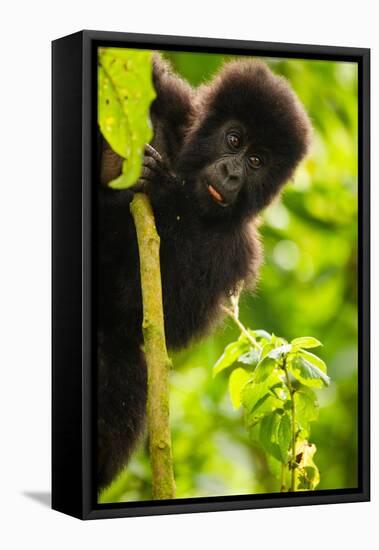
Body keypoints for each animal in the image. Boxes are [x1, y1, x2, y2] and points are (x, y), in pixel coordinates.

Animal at [97, 55, 312, 492]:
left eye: (256, 161)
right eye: (234, 141)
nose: (231, 174)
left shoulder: (236, 251)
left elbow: (148, 316)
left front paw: (163, 188)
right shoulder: (178, 106)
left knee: (125, 359)